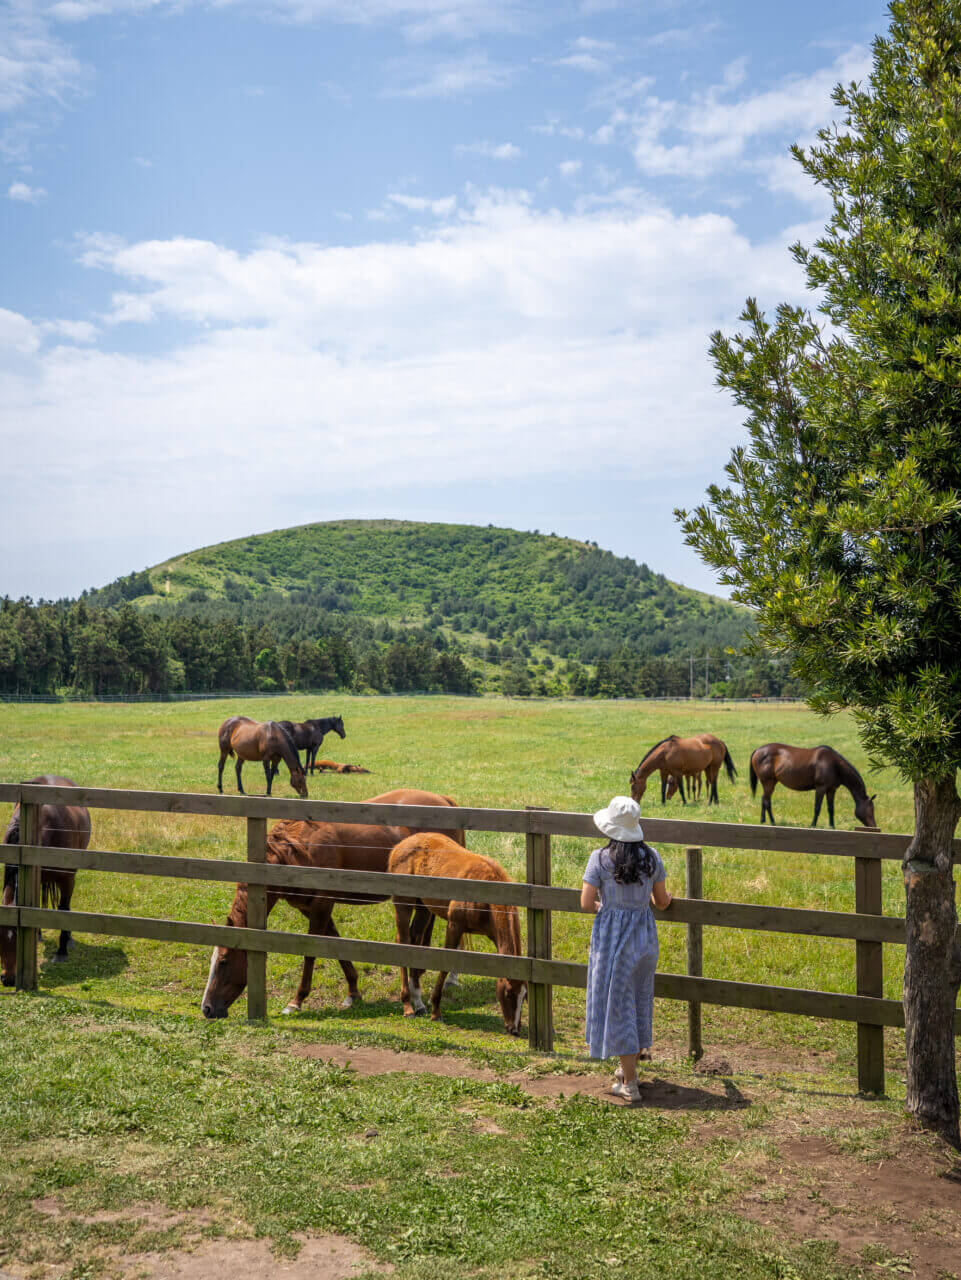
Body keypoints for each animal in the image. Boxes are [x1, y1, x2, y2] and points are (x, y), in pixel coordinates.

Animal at [199, 778, 465, 1018]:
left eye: (223, 961)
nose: (207, 1008)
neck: (294, 851)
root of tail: (444, 801)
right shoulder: (311, 907)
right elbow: (335, 944)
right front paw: (353, 992)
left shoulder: (322, 904)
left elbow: (312, 950)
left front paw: (296, 1001)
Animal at [386, 834, 529, 1034]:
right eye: (508, 993)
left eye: (524, 996)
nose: (514, 1029)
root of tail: (401, 845)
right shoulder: (454, 925)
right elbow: (446, 965)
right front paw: (436, 1010)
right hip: (403, 905)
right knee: (404, 942)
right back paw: (407, 1006)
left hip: (423, 908)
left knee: (414, 941)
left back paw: (418, 1002)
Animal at [752, 742, 880, 829]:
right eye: (871, 809)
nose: (874, 827)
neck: (834, 765)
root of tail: (758, 750)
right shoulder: (820, 788)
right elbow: (817, 807)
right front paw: (813, 825)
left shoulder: (831, 790)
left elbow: (830, 808)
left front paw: (832, 826)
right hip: (768, 782)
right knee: (767, 801)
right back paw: (772, 822)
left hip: (771, 783)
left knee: (764, 799)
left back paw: (763, 820)